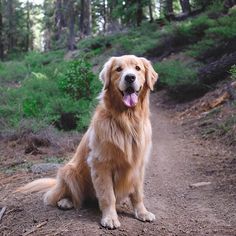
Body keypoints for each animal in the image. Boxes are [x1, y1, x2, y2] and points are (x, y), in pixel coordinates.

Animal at [17, 54, 158, 229]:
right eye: (118, 69)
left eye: (137, 68)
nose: (130, 77)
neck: (127, 121)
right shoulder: (101, 163)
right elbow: (108, 195)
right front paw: (110, 218)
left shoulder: (138, 164)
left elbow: (138, 194)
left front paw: (142, 212)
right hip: (69, 171)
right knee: (62, 196)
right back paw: (66, 202)